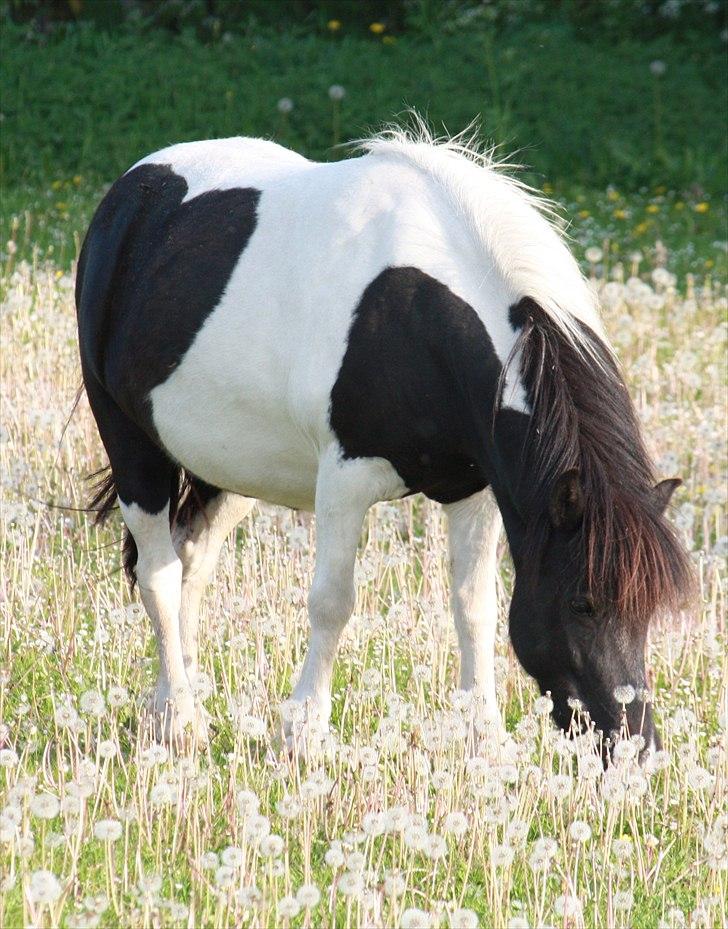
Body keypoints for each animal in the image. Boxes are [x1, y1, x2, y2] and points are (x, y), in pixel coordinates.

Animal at [75, 121, 692, 752]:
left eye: (649, 613)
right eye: (582, 603)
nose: (636, 747)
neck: (418, 319)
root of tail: (132, 191)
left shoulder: (476, 491)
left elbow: (475, 608)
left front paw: (485, 738)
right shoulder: (345, 480)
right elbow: (332, 603)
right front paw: (304, 732)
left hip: (226, 463)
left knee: (193, 562)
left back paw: (175, 707)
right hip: (131, 445)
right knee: (159, 575)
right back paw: (179, 718)